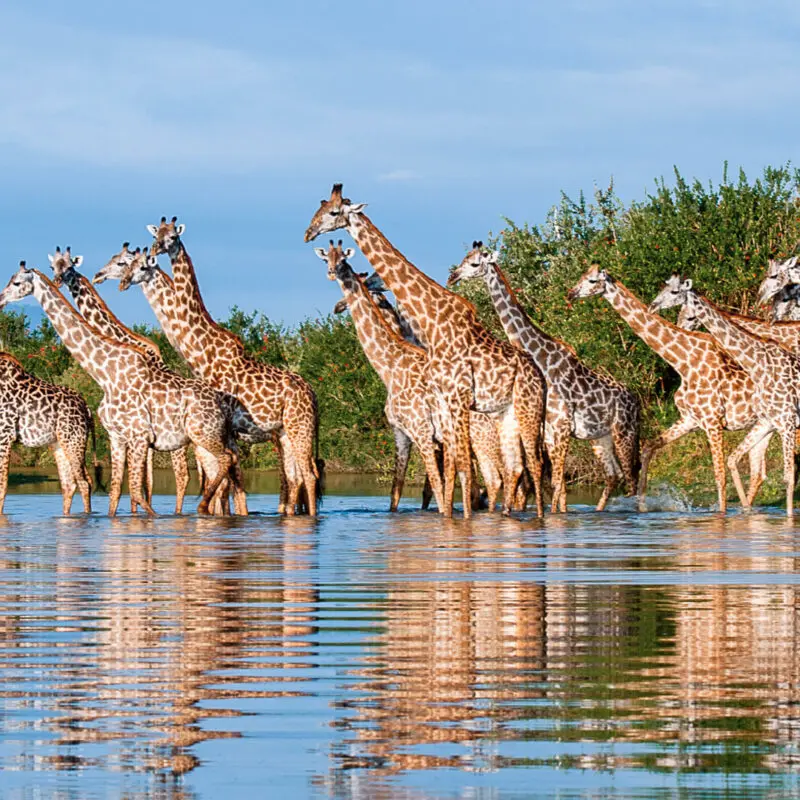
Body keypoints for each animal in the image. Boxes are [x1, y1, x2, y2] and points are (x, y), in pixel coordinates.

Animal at [0, 352, 94, 514]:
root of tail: (86, 407)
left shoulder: (5, 436)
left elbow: (3, 485)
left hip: (73, 440)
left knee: (84, 482)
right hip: (59, 443)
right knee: (69, 484)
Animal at [140, 219, 321, 516]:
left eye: (173, 236)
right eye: (156, 234)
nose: (156, 249)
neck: (204, 352)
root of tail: (312, 393)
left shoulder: (221, 431)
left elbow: (225, 484)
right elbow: (229, 486)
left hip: (297, 428)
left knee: (307, 476)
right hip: (284, 433)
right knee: (295, 478)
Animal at [304, 184, 546, 518]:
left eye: (334, 212)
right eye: (319, 208)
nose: (308, 233)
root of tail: (540, 375)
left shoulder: (439, 414)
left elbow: (449, 476)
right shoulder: (421, 422)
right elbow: (416, 485)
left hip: (524, 411)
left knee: (530, 467)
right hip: (504, 417)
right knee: (514, 469)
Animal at [449, 244, 642, 512]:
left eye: (475, 264)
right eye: (463, 260)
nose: (453, 277)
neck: (544, 361)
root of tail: (636, 400)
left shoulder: (561, 427)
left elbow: (557, 483)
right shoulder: (550, 431)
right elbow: (557, 487)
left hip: (624, 432)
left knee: (631, 480)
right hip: (600, 436)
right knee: (613, 475)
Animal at [568, 266, 769, 513]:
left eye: (592, 280)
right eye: (582, 277)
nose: (571, 293)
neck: (683, 362)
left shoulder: (713, 421)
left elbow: (719, 475)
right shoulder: (690, 420)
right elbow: (648, 448)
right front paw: (641, 507)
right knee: (759, 474)